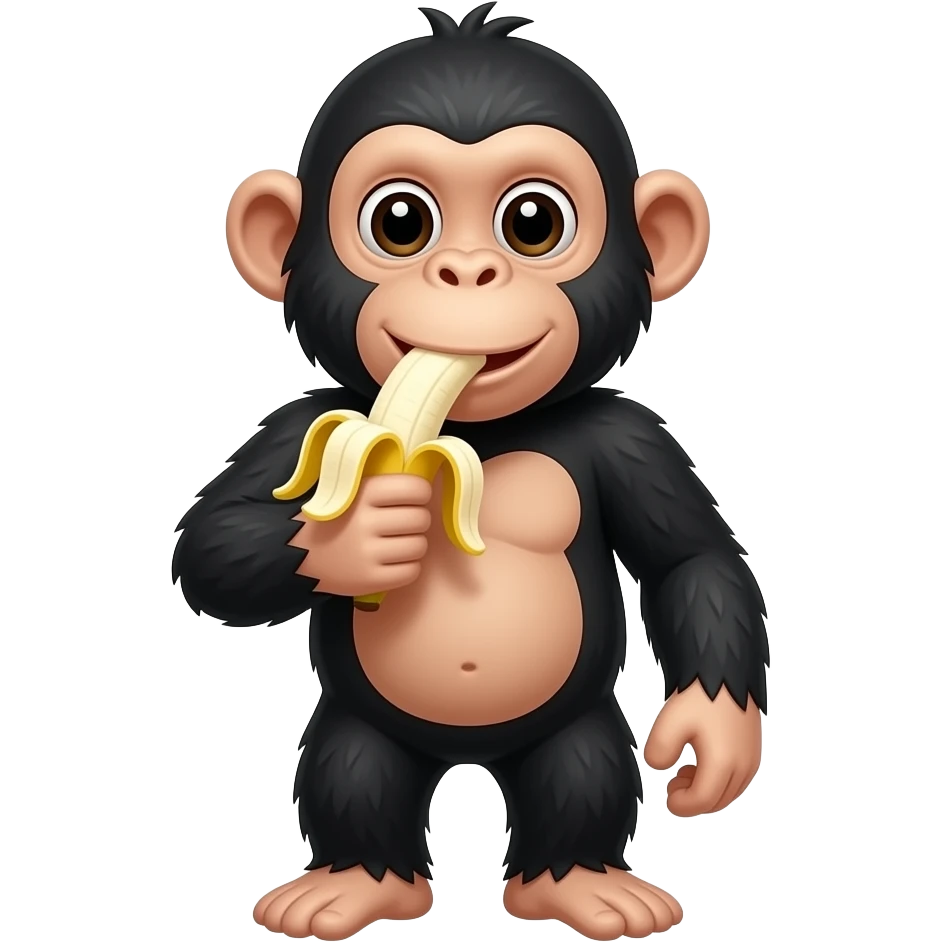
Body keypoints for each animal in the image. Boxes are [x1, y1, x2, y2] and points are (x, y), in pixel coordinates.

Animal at [173, 5, 770, 941]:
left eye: (533, 222)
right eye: (399, 222)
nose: (465, 271)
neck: (475, 435)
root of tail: (468, 757)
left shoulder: (632, 438)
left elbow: (693, 560)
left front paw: (715, 738)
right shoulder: (308, 420)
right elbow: (214, 543)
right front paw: (361, 536)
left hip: (576, 731)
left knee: (582, 776)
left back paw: (580, 885)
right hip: (356, 730)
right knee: (352, 776)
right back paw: (353, 885)